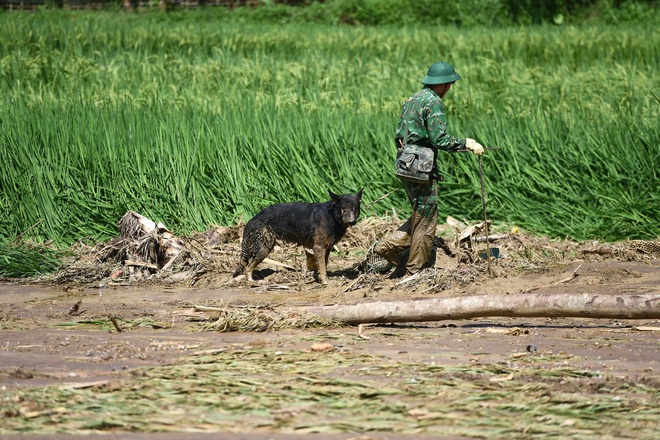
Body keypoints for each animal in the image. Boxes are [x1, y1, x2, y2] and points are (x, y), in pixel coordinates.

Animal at [235, 191, 364, 284]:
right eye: (344, 209)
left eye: (355, 209)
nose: (352, 222)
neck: (332, 216)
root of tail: (251, 220)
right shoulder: (319, 247)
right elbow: (322, 268)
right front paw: (324, 282)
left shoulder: (326, 248)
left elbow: (323, 266)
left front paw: (320, 278)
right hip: (264, 250)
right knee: (248, 268)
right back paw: (252, 282)